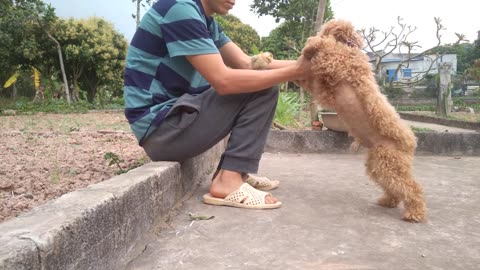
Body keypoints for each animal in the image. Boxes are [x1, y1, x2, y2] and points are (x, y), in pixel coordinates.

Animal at [300, 18, 428, 221]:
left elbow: (329, 48)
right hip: (379, 165)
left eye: (327, 27)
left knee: (411, 187)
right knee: (394, 187)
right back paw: (388, 201)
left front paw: (312, 43)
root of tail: (410, 143)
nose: (318, 32)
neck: (351, 48)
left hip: (389, 164)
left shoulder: (337, 62)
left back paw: (414, 213)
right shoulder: (322, 83)